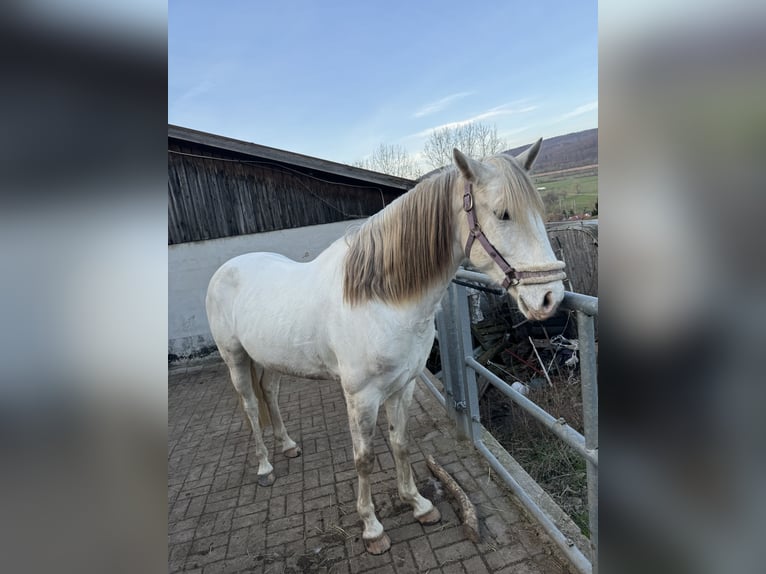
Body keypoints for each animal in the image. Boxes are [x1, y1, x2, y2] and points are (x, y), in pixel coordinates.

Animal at [207, 142, 568, 556]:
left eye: (539, 212)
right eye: (502, 213)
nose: (549, 297)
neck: (379, 298)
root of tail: (226, 268)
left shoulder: (403, 385)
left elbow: (399, 443)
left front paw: (419, 505)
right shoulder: (361, 396)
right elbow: (364, 458)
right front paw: (372, 528)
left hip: (269, 359)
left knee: (270, 394)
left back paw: (287, 445)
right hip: (235, 358)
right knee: (251, 406)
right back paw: (265, 467)